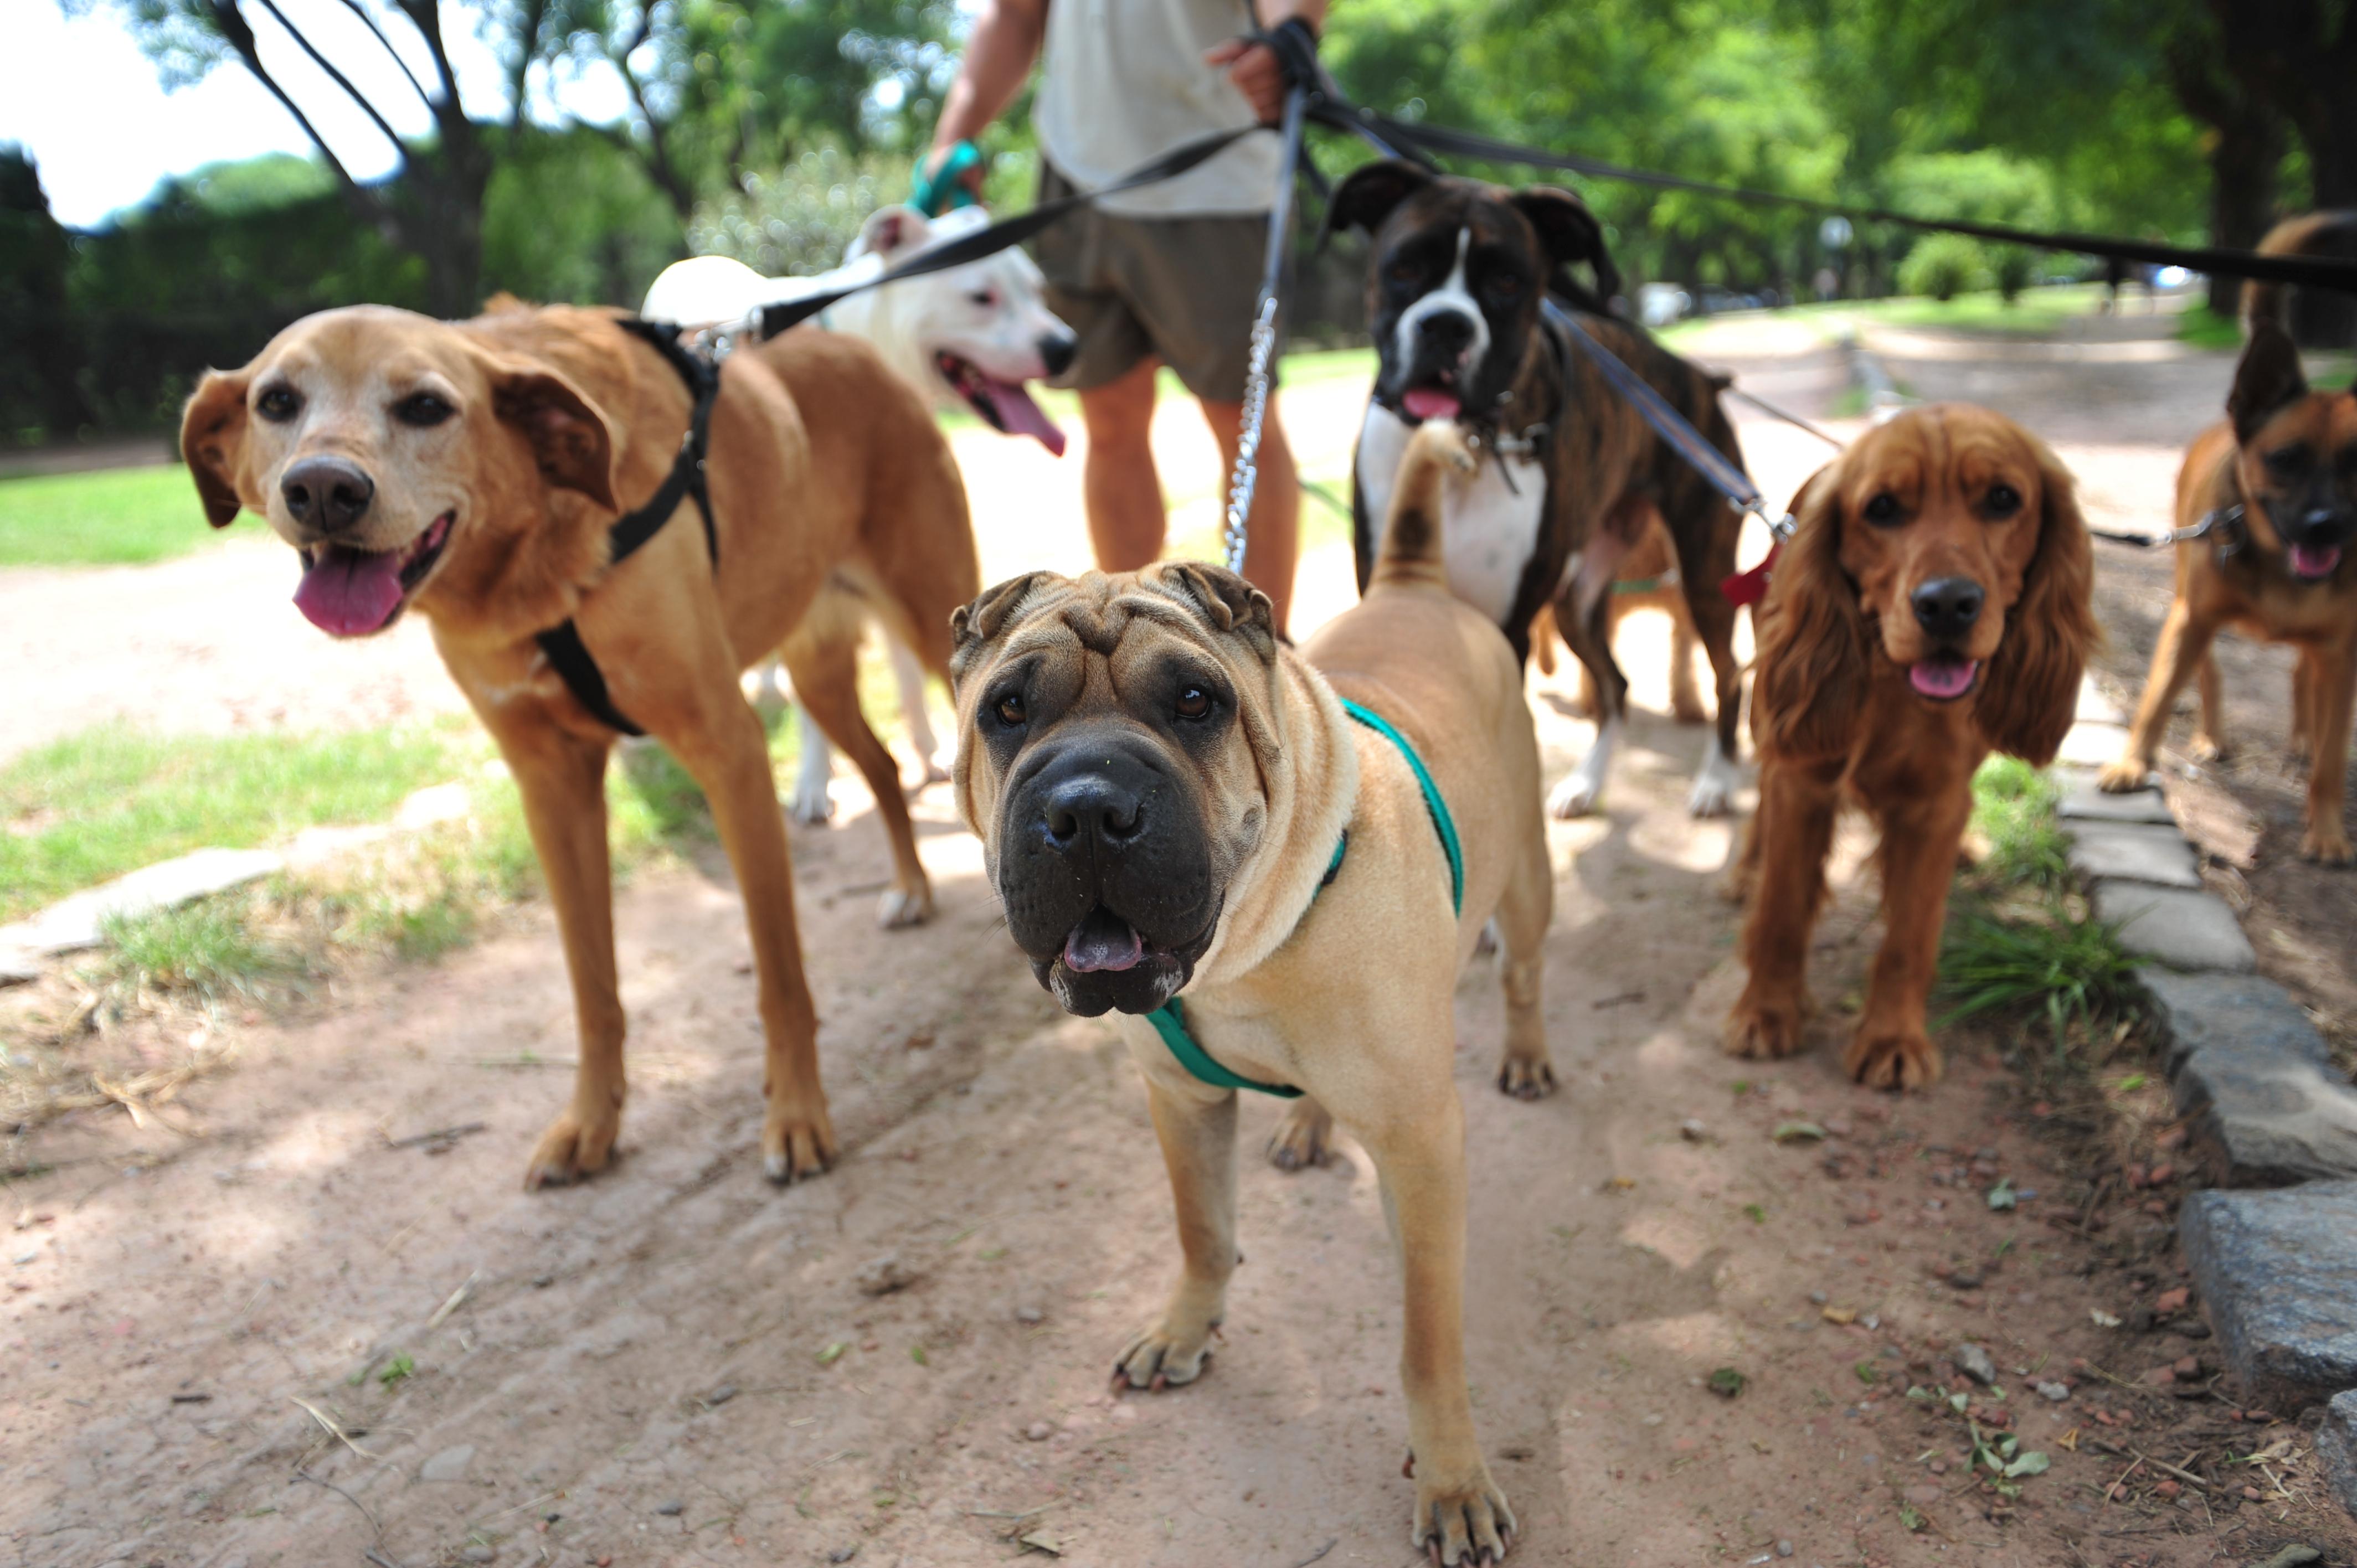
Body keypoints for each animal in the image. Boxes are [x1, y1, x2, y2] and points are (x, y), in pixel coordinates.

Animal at [179, 302, 975, 1188]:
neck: (534, 561)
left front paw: (797, 1116)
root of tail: (857, 353)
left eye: (426, 406)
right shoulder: (551, 786)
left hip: (936, 627)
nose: (323, 487)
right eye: (277, 402)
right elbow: (593, 991)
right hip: (816, 675)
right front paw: (591, 1123)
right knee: (882, 765)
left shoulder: (726, 750)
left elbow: (780, 979)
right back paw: (911, 887)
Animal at [641, 200, 1074, 821]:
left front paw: (928, 748)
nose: (1065, 347)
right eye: (981, 297)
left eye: (1036, 289)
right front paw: (812, 782)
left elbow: (909, 673)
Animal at [947, 422, 1555, 1556]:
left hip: (1529, 876)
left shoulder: (1421, 1143)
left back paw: (1529, 1056)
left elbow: (1428, 1339)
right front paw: (1185, 1328)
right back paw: (1309, 1122)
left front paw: (1451, 1479)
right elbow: (1202, 1229)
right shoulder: (1180, 1100)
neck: (1251, 948)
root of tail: (1418, 583)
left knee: (1528, 967)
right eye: (1007, 710)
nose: (1085, 807)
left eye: (1196, 701)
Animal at [1725, 403, 2093, 1089]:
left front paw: (1892, 1037)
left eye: (2002, 499)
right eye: (1882, 509)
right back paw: (1743, 873)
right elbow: (1783, 910)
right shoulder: (1803, 780)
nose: (1946, 604)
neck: (1893, 687)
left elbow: (1909, 937)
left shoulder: (1934, 804)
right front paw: (1766, 1012)